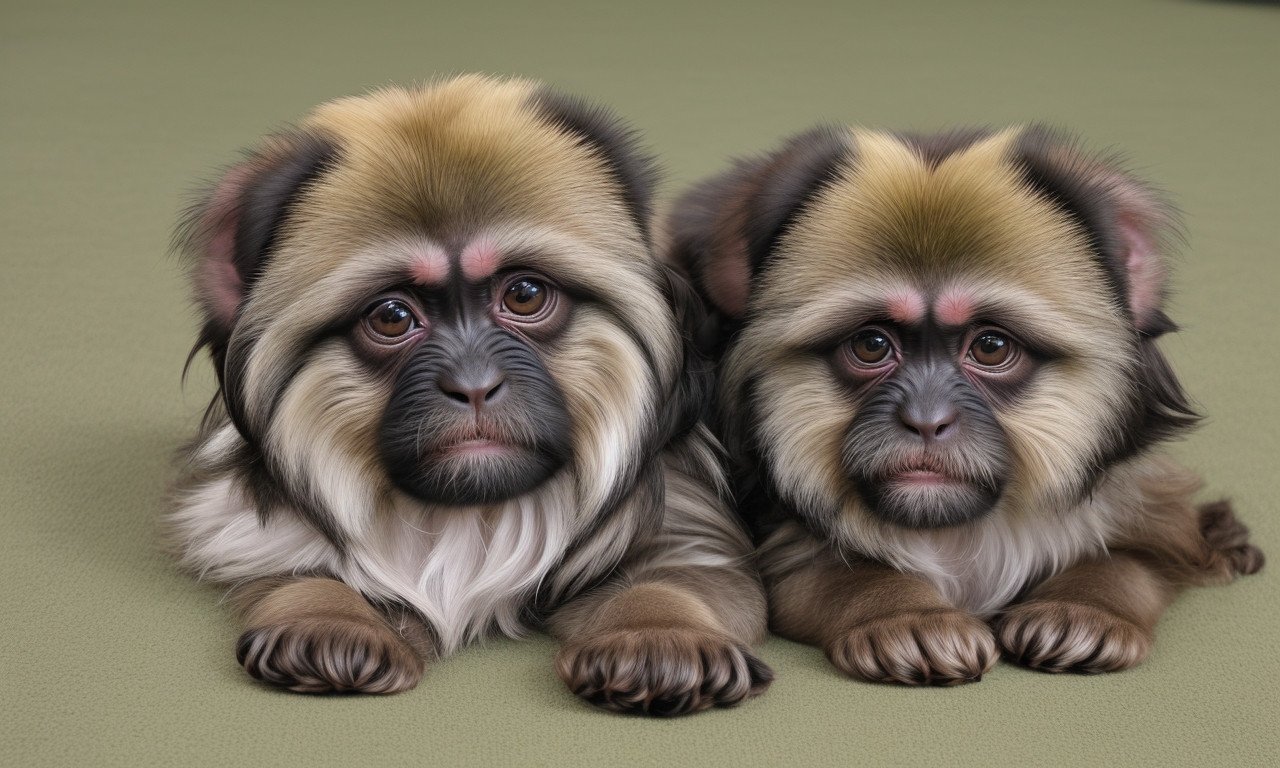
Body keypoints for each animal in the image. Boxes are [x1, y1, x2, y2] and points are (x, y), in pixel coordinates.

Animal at [162, 75, 772, 715]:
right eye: (392, 316)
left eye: (526, 294)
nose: (473, 386)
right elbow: (307, 572)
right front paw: (329, 622)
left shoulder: (689, 527)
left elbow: (673, 581)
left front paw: (657, 638)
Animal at [666, 124, 1264, 685]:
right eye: (871, 345)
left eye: (991, 347)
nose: (926, 422)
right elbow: (832, 571)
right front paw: (907, 616)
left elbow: (1134, 557)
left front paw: (1085, 607)